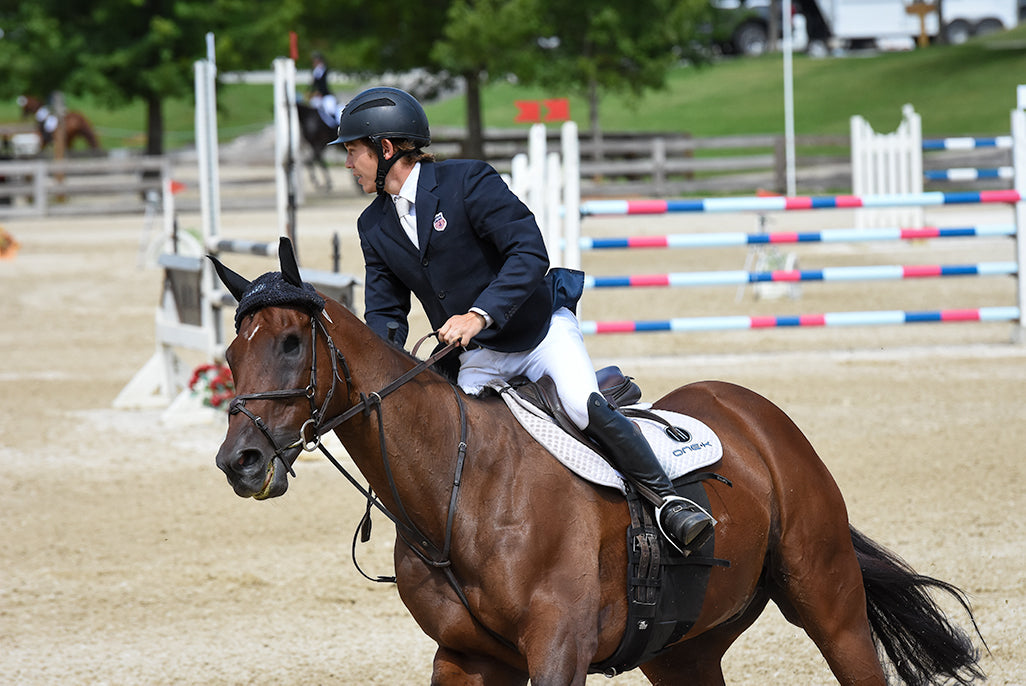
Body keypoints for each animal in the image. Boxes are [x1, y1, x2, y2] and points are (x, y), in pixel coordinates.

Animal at [209, 238, 985, 685]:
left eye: (289, 342)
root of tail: (756, 414)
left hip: (829, 604)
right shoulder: (464, 658)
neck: (458, 493)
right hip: (683, 650)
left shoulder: (558, 648)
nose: (239, 461)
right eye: (229, 353)